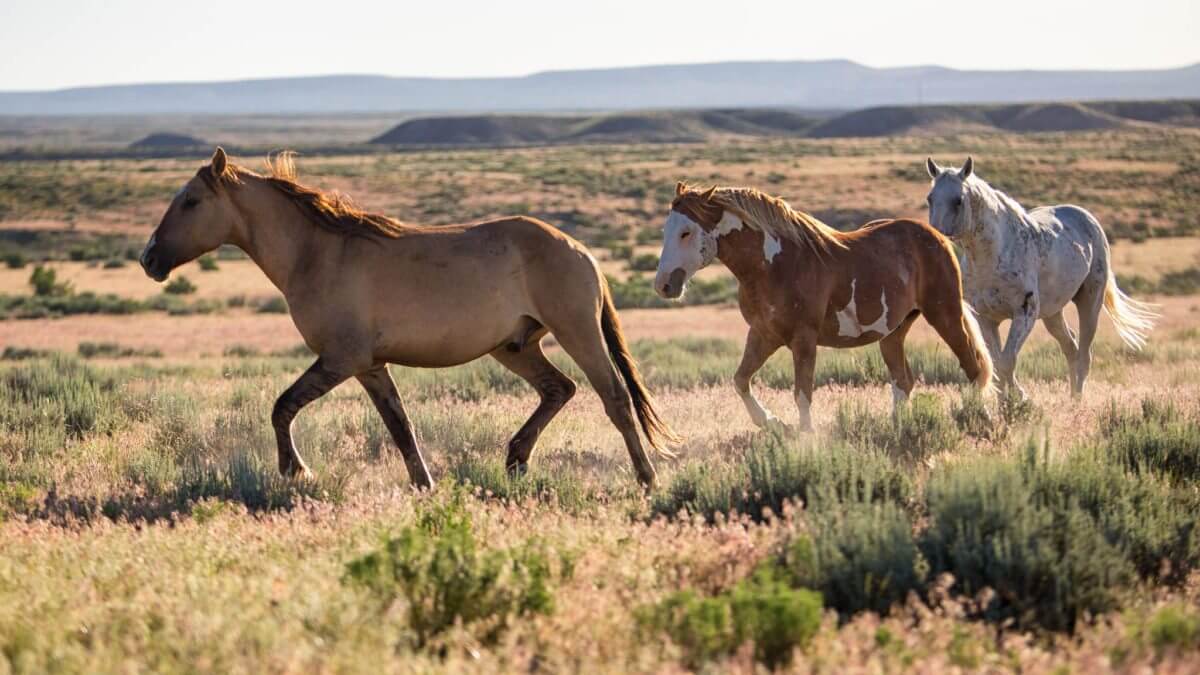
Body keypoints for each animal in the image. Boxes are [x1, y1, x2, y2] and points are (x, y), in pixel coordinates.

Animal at [140, 148, 676, 482]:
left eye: (191, 202)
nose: (149, 259)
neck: (317, 251)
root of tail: (581, 250)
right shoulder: (370, 367)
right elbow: (401, 428)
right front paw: (425, 485)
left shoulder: (341, 360)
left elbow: (282, 407)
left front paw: (296, 470)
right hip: (515, 347)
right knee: (558, 390)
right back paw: (515, 460)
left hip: (576, 332)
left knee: (614, 397)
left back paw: (646, 477)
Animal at [657, 181, 993, 427]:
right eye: (665, 231)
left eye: (686, 232)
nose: (663, 285)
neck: (774, 266)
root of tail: (938, 236)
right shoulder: (763, 334)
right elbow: (741, 381)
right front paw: (773, 423)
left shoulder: (803, 338)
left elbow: (802, 394)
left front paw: (804, 439)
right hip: (893, 332)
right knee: (904, 381)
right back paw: (898, 428)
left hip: (944, 313)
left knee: (973, 367)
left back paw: (977, 417)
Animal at [926, 156, 1152, 393]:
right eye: (930, 198)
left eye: (958, 200)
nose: (933, 237)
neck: (994, 255)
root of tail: (1087, 218)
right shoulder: (986, 318)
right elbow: (997, 364)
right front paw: (1007, 399)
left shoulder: (1025, 314)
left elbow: (1006, 361)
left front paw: (1019, 397)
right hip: (1052, 313)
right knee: (1071, 348)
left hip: (1090, 302)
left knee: (1084, 355)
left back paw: (1077, 399)